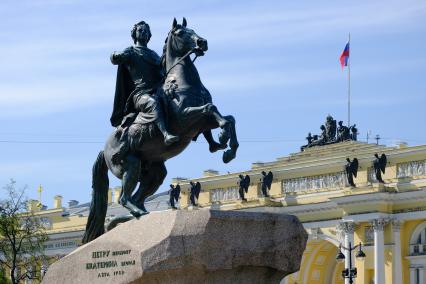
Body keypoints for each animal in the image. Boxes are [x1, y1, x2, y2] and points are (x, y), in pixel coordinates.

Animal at [81, 18, 238, 244]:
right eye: (181, 33)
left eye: (193, 29)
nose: (202, 42)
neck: (181, 81)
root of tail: (104, 150)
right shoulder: (185, 118)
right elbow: (212, 108)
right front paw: (223, 139)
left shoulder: (201, 123)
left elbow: (228, 118)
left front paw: (226, 148)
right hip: (130, 164)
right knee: (124, 197)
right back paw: (136, 213)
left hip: (154, 173)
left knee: (137, 197)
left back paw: (136, 215)